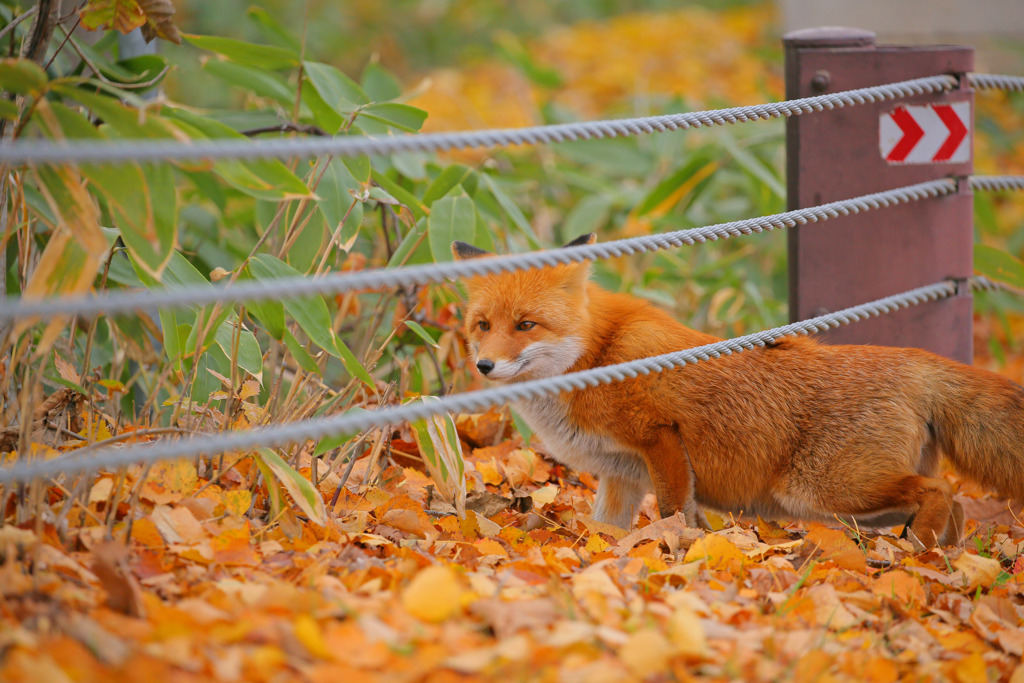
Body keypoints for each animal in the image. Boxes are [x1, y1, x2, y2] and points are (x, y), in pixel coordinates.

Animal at [452, 232, 1024, 548]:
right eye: (483, 324)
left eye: (526, 325)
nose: (484, 365)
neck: (594, 359)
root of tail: (914, 360)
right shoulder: (621, 474)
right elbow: (608, 531)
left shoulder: (661, 437)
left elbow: (675, 512)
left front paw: (680, 554)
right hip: (849, 506)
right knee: (957, 506)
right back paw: (945, 560)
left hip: (827, 490)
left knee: (941, 491)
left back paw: (916, 556)